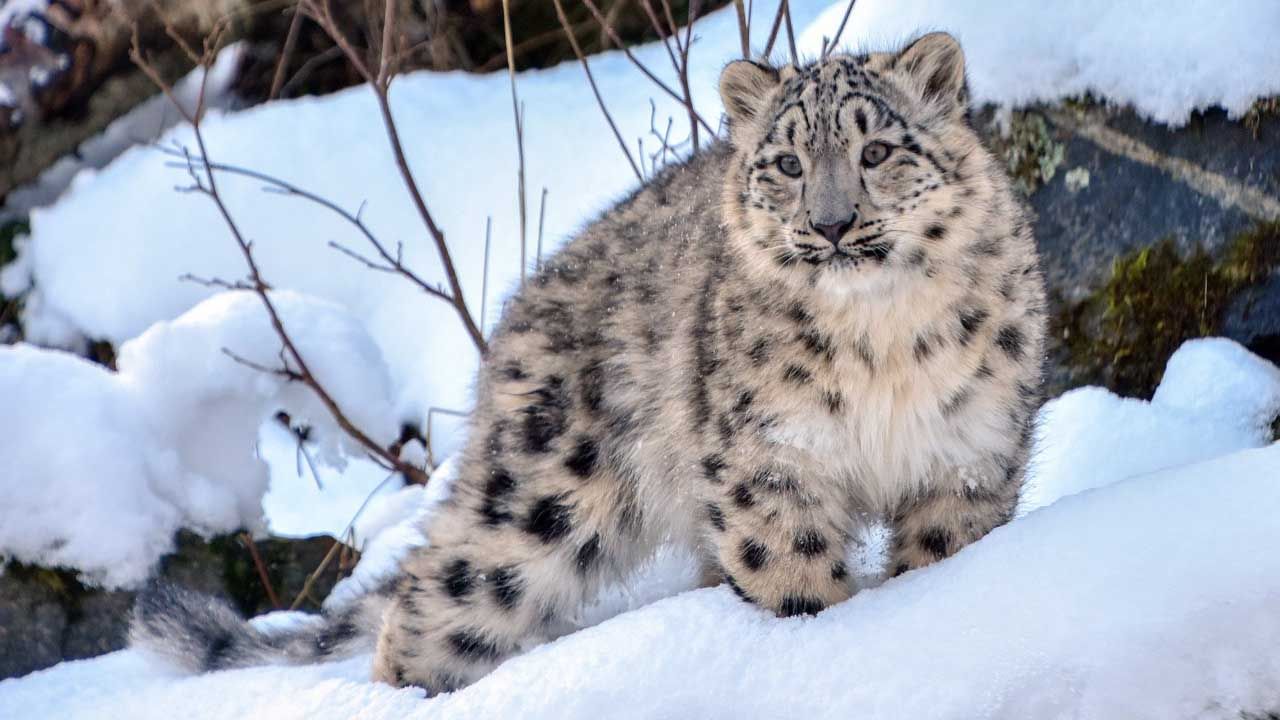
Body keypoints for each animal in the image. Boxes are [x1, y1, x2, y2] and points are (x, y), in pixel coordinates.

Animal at [129, 32, 1049, 691]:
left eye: (877, 152)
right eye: (788, 163)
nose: (829, 224)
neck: (880, 343)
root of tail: (514, 317)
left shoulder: (968, 457)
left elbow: (943, 558)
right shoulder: (769, 467)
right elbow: (793, 579)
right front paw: (818, 636)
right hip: (541, 499)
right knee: (435, 597)